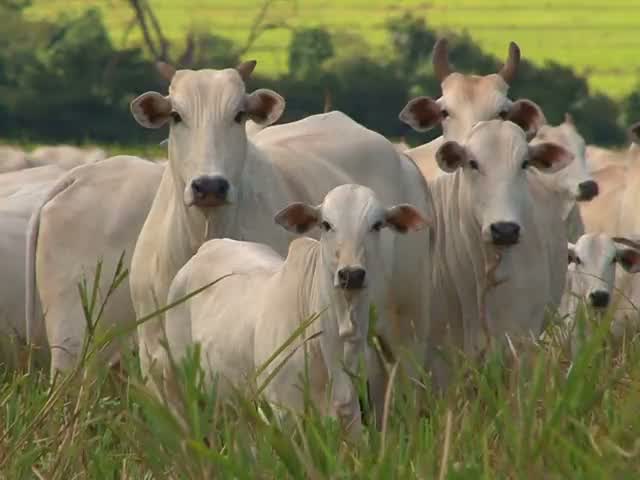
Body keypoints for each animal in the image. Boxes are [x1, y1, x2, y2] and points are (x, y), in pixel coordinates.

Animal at [128, 60, 433, 404]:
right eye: (176, 115)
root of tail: (402, 158)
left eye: (239, 115)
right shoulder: (156, 358)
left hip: (407, 324)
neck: (203, 237)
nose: (209, 186)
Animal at [165, 184, 428, 431]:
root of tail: (206, 248)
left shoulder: (353, 413)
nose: (351, 275)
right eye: (326, 224)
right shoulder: (282, 411)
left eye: (377, 225)